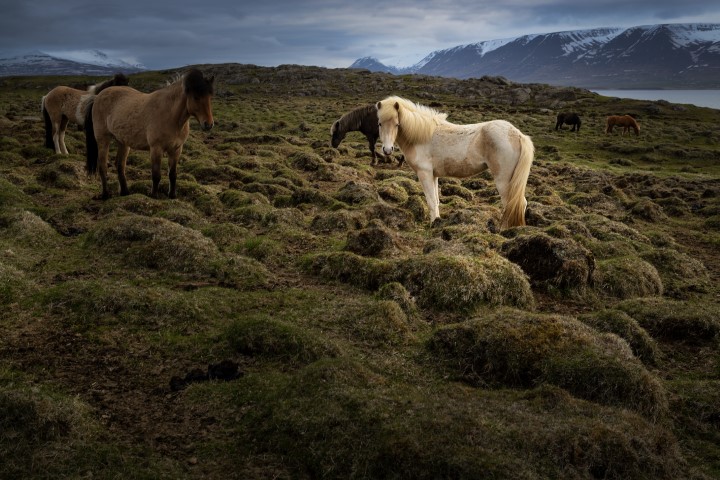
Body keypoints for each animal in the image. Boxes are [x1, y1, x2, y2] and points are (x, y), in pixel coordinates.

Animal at [84, 68, 214, 200]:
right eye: (196, 97)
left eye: (210, 97)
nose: (208, 124)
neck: (170, 115)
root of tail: (98, 96)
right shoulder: (156, 149)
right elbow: (156, 175)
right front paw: (154, 196)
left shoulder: (176, 149)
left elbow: (173, 174)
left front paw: (172, 195)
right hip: (103, 140)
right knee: (102, 166)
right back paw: (105, 194)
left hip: (123, 142)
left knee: (120, 166)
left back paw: (125, 192)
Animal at [376, 96, 536, 230]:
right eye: (379, 123)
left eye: (397, 124)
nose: (387, 150)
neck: (422, 135)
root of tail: (517, 134)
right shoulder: (433, 175)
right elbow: (436, 200)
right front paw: (437, 221)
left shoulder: (424, 174)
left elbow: (431, 201)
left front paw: (433, 225)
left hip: (503, 180)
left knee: (510, 203)